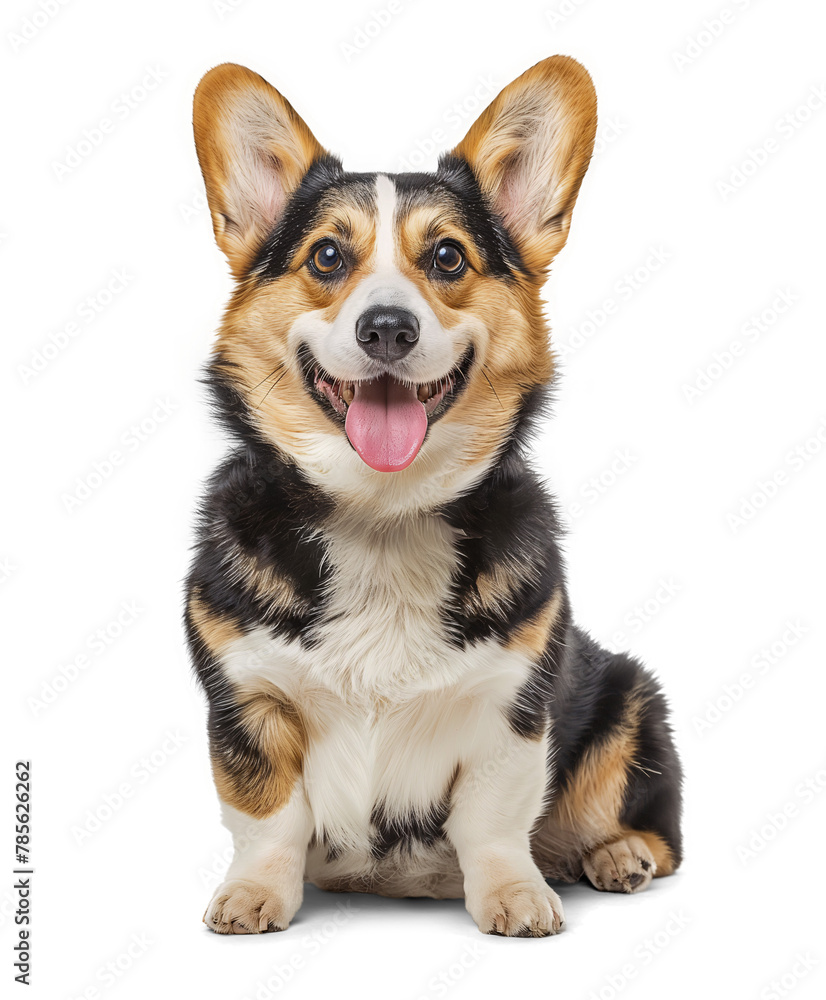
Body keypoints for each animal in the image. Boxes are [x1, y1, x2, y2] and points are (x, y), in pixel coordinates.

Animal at [187, 58, 684, 936]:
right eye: (326, 257)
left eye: (448, 258)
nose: (389, 328)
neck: (382, 518)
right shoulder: (248, 700)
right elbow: (266, 817)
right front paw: (253, 895)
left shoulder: (511, 706)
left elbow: (493, 818)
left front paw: (515, 897)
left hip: (628, 699)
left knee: (643, 828)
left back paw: (615, 855)